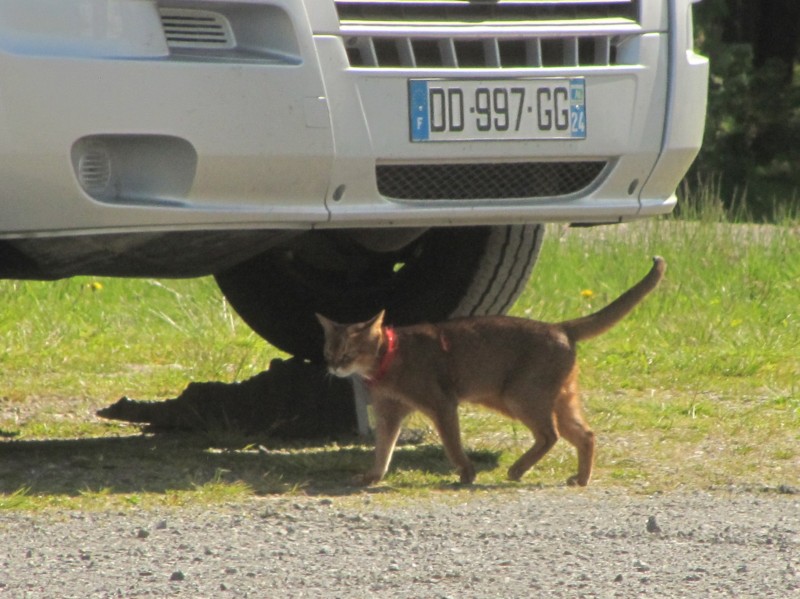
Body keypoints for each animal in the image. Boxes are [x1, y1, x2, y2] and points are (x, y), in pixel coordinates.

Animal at [316, 256, 664, 488]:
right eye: (328, 352)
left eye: (347, 353)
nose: (333, 366)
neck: (390, 357)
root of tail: (559, 327)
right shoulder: (389, 414)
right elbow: (383, 449)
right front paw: (373, 476)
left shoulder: (442, 404)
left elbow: (452, 444)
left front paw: (466, 474)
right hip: (558, 399)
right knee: (585, 434)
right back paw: (580, 478)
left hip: (519, 397)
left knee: (549, 435)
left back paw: (518, 470)